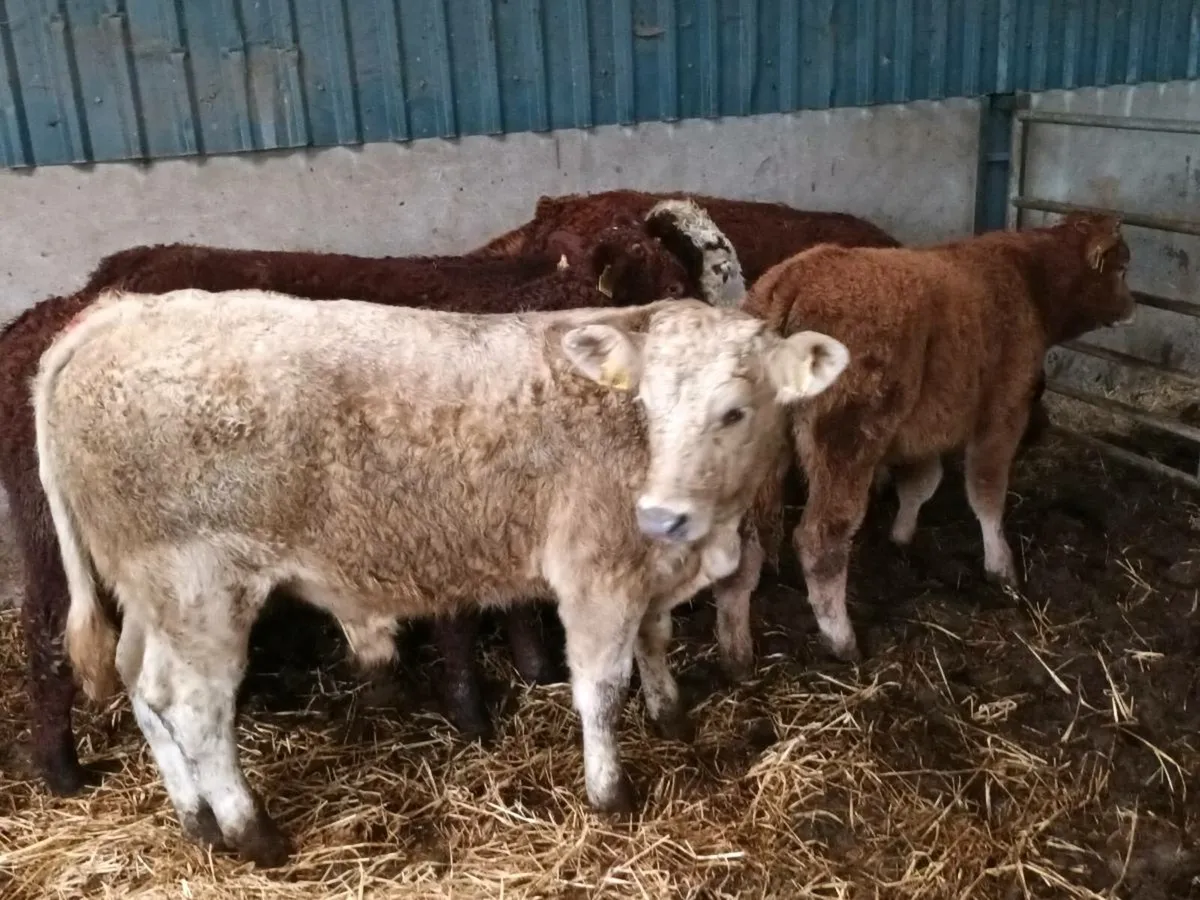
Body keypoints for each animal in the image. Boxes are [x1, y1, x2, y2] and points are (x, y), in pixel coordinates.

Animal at [1, 205, 739, 797]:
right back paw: (63, 772)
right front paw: (476, 712)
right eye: (669, 294)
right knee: (49, 638)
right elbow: (464, 616)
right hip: (62, 549)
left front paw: (533, 672)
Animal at [34, 287, 850, 866]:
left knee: (140, 682)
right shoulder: (597, 574)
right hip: (199, 587)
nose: (660, 513)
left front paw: (672, 717)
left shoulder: (649, 574)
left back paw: (195, 817)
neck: (699, 537)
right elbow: (600, 686)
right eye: (646, 404)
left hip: (151, 591)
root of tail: (117, 314)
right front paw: (611, 792)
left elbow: (654, 644)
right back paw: (250, 830)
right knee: (196, 706)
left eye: (734, 412)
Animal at [716, 212, 1135, 668]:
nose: (1132, 307)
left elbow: (921, 483)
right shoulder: (1001, 415)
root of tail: (797, 274)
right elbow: (987, 493)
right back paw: (842, 640)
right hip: (847, 445)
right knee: (819, 540)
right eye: (1122, 268)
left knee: (740, 546)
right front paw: (1001, 567)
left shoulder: (924, 434)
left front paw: (902, 535)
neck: (1028, 280)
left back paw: (737, 652)